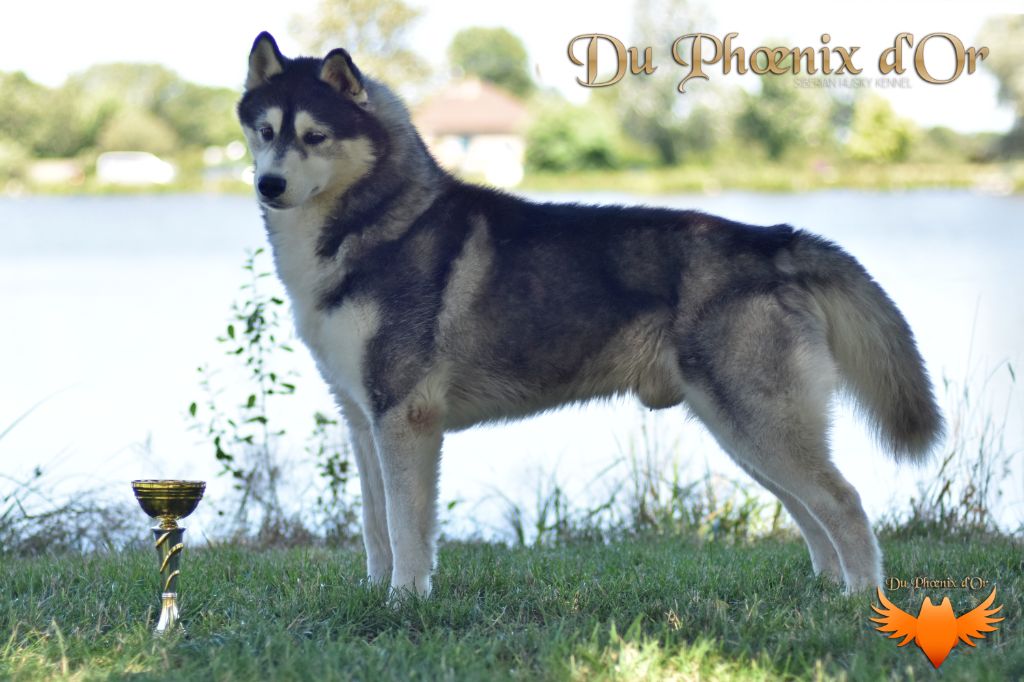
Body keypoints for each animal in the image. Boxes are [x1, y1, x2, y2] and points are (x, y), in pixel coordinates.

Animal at [235, 31, 937, 593]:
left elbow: (408, 529)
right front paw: (374, 593)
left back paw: (861, 601)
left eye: (315, 136)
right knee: (808, 512)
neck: (373, 226)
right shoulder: (362, 418)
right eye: (265, 132)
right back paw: (828, 590)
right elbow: (374, 526)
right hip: (745, 432)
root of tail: (774, 237)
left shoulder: (405, 417)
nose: (268, 186)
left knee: (844, 503)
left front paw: (406, 601)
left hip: (759, 424)